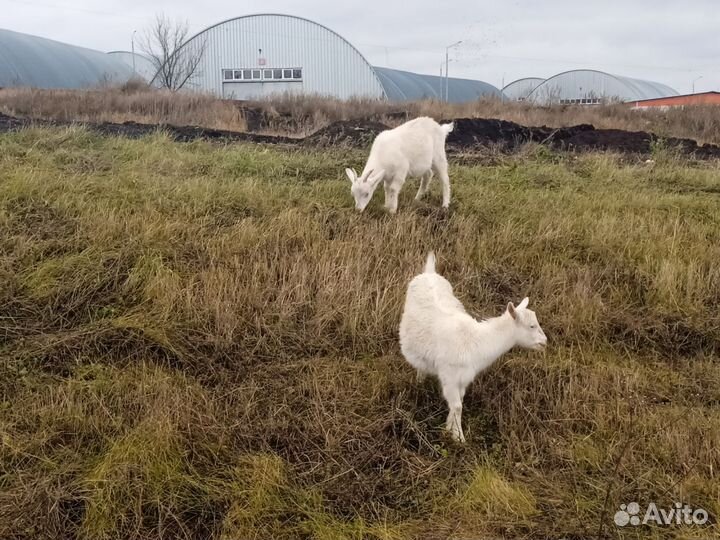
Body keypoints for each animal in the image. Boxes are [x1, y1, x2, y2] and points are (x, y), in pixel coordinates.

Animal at [399, 252, 547, 442]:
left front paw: (449, 428)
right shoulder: (449, 376)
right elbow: (457, 406)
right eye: (531, 326)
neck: (476, 340)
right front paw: (459, 438)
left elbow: (458, 403)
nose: (544, 342)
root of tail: (429, 272)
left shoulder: (463, 378)